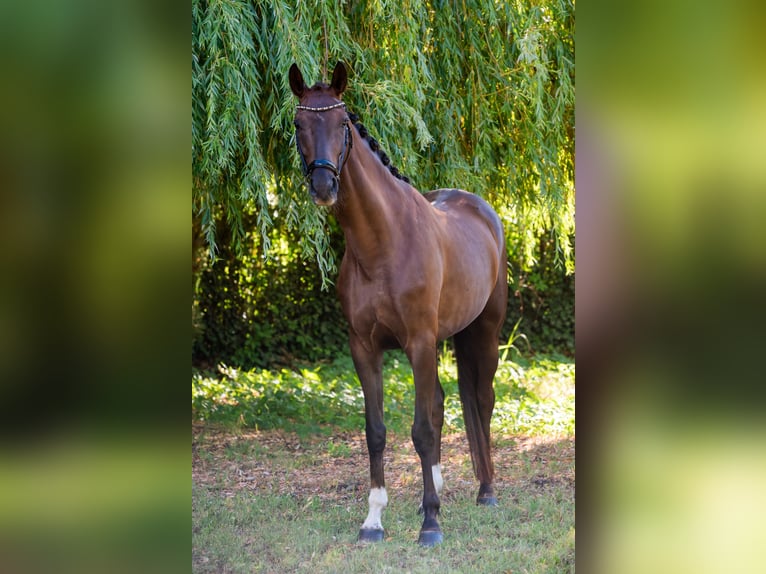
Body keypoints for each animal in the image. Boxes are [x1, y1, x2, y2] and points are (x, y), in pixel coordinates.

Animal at [289, 61, 508, 546]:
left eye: (342, 123)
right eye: (297, 125)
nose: (323, 185)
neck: (383, 244)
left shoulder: (419, 343)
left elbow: (421, 430)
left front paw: (431, 525)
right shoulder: (364, 348)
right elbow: (377, 432)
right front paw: (374, 520)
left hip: (485, 331)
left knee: (481, 401)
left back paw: (487, 491)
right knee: (444, 402)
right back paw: (437, 491)